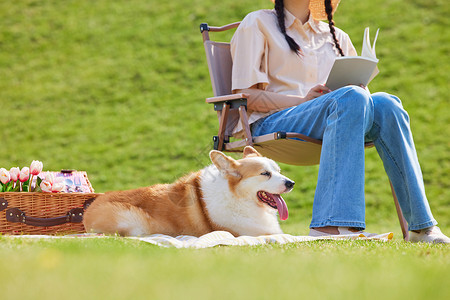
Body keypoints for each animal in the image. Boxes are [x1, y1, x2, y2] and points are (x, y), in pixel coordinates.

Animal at [83, 146, 296, 238]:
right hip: (132, 220)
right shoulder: (251, 233)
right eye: (265, 174)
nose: (291, 183)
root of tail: (87, 210)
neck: (237, 197)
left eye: (279, 171)